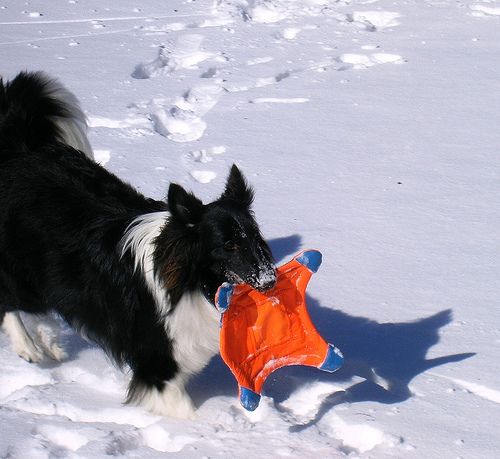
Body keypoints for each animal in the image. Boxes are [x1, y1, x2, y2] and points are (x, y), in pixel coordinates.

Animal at [0, 72, 278, 420]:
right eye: (227, 245)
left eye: (254, 238)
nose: (271, 280)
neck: (188, 283)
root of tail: (21, 146)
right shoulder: (157, 365)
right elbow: (184, 410)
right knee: (9, 300)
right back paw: (28, 348)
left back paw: (49, 343)